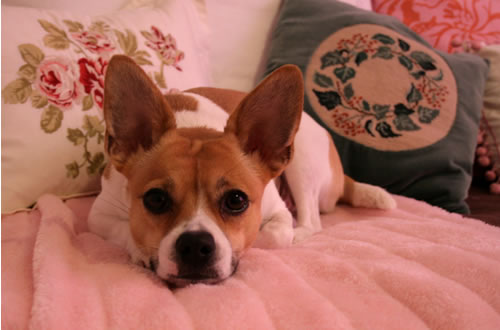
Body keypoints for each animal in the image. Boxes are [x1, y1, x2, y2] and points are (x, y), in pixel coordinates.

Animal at [88, 55, 396, 288]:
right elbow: (124, 229)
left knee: (311, 222)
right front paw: (140, 250)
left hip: (304, 159)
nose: (195, 245)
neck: (193, 123)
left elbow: (272, 235)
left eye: (236, 200)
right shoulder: (100, 214)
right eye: (155, 199)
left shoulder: (278, 213)